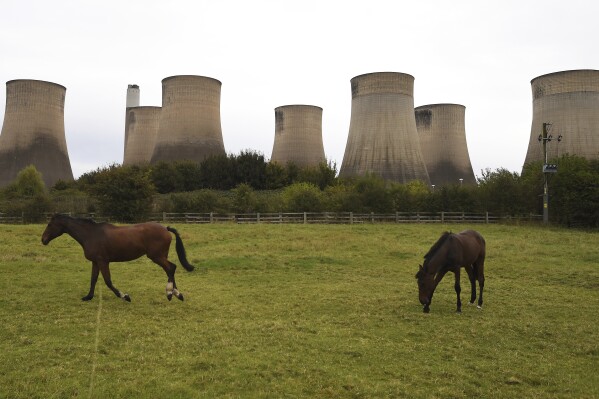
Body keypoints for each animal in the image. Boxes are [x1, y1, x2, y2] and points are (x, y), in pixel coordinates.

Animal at [41, 216, 196, 304]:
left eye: (50, 225)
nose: (43, 240)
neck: (91, 234)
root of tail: (165, 228)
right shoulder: (95, 262)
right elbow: (93, 279)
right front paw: (88, 297)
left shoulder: (103, 261)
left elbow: (108, 281)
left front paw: (125, 296)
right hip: (160, 256)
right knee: (170, 269)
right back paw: (177, 294)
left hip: (156, 256)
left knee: (171, 268)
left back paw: (171, 293)